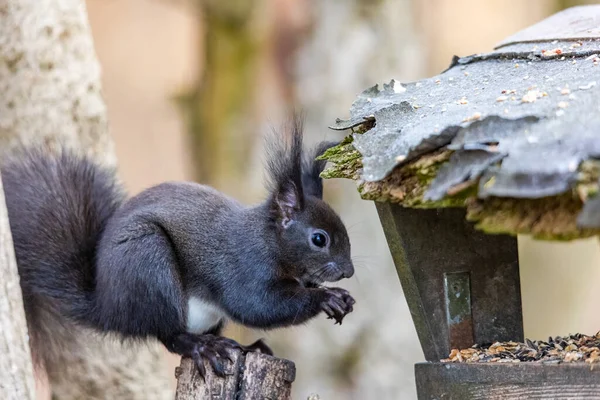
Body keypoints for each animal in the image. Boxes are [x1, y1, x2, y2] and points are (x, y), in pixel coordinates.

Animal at [0, 118, 354, 378]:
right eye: (319, 239)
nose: (348, 271)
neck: (268, 241)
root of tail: (108, 307)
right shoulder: (243, 268)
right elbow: (258, 306)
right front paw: (326, 297)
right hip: (150, 266)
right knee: (169, 335)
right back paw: (202, 347)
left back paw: (246, 347)